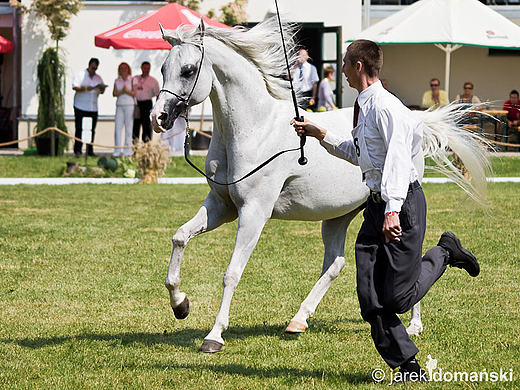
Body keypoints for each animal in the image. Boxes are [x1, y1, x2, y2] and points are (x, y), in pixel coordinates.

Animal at [149, 19, 488, 354]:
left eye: (188, 70)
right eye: (163, 68)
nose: (158, 117)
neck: (255, 129)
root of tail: (414, 121)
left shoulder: (254, 213)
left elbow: (232, 273)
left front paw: (214, 336)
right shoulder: (222, 206)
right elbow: (180, 237)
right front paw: (181, 306)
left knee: (408, 264)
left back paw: (416, 321)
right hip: (339, 215)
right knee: (336, 263)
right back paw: (298, 320)